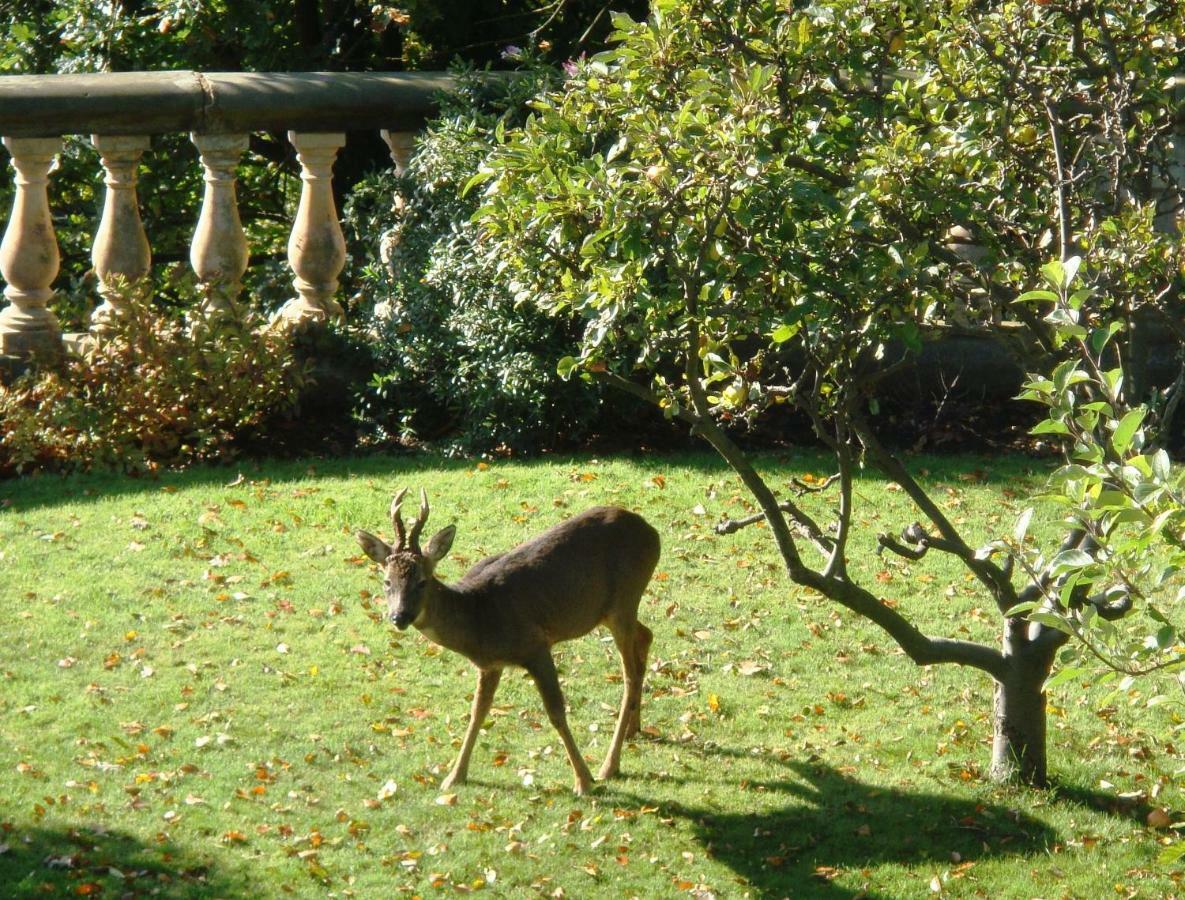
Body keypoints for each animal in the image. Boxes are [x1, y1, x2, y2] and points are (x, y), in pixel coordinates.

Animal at [355, 488, 663, 792]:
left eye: (422, 581)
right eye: (387, 581)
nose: (399, 616)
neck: (478, 618)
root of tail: (653, 532)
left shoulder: (536, 645)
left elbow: (556, 713)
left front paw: (583, 781)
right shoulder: (490, 665)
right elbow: (477, 712)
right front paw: (454, 777)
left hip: (624, 600)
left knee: (630, 673)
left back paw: (609, 765)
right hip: (614, 610)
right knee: (646, 636)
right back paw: (633, 729)